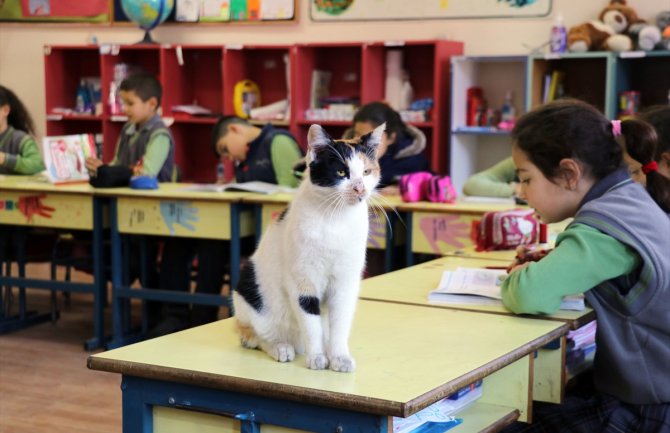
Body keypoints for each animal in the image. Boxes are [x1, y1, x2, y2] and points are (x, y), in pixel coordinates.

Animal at [235, 121, 384, 372]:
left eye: (366, 172)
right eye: (341, 172)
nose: (359, 188)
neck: (336, 219)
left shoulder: (346, 281)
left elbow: (340, 322)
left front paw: (339, 357)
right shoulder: (302, 280)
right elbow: (311, 322)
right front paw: (317, 357)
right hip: (250, 290)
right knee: (256, 337)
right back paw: (280, 347)